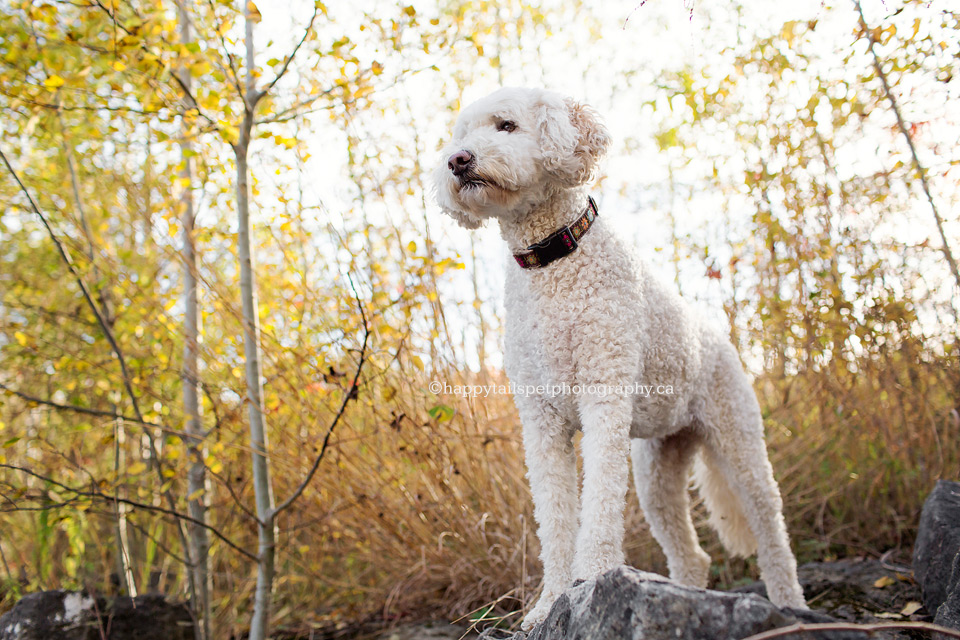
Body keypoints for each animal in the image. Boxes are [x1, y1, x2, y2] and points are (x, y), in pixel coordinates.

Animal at [432, 87, 808, 632]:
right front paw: (549, 602)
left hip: (738, 440)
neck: (553, 262)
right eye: (460, 136)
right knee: (691, 554)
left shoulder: (604, 398)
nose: (458, 160)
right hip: (657, 472)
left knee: (772, 532)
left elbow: (601, 501)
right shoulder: (541, 422)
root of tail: (717, 334)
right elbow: (555, 516)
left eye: (505, 125)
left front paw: (592, 576)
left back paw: (791, 604)